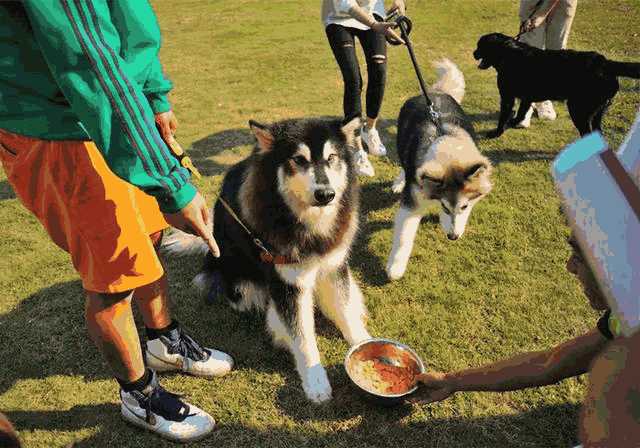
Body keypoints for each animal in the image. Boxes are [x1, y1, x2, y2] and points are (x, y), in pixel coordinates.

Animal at [164, 115, 370, 402]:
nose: (326, 194)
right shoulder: (287, 284)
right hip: (242, 285)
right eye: (299, 160)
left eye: (331, 158)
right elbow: (302, 337)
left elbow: (346, 310)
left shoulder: (333, 266)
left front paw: (365, 346)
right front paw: (315, 381)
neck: (305, 223)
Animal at [384, 57, 496, 278]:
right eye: (444, 206)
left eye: (464, 207)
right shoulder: (412, 200)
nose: (453, 237)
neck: (446, 141)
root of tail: (434, 92)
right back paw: (399, 181)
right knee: (404, 164)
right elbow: (403, 235)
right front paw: (395, 267)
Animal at [472, 32, 640, 137]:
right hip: (598, 112)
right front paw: (514, 122)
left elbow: (503, 116)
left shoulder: (507, 97)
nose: (473, 53)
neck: (508, 52)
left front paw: (496, 133)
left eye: (480, 46)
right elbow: (521, 112)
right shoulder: (526, 97)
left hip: (578, 110)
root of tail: (605, 63)